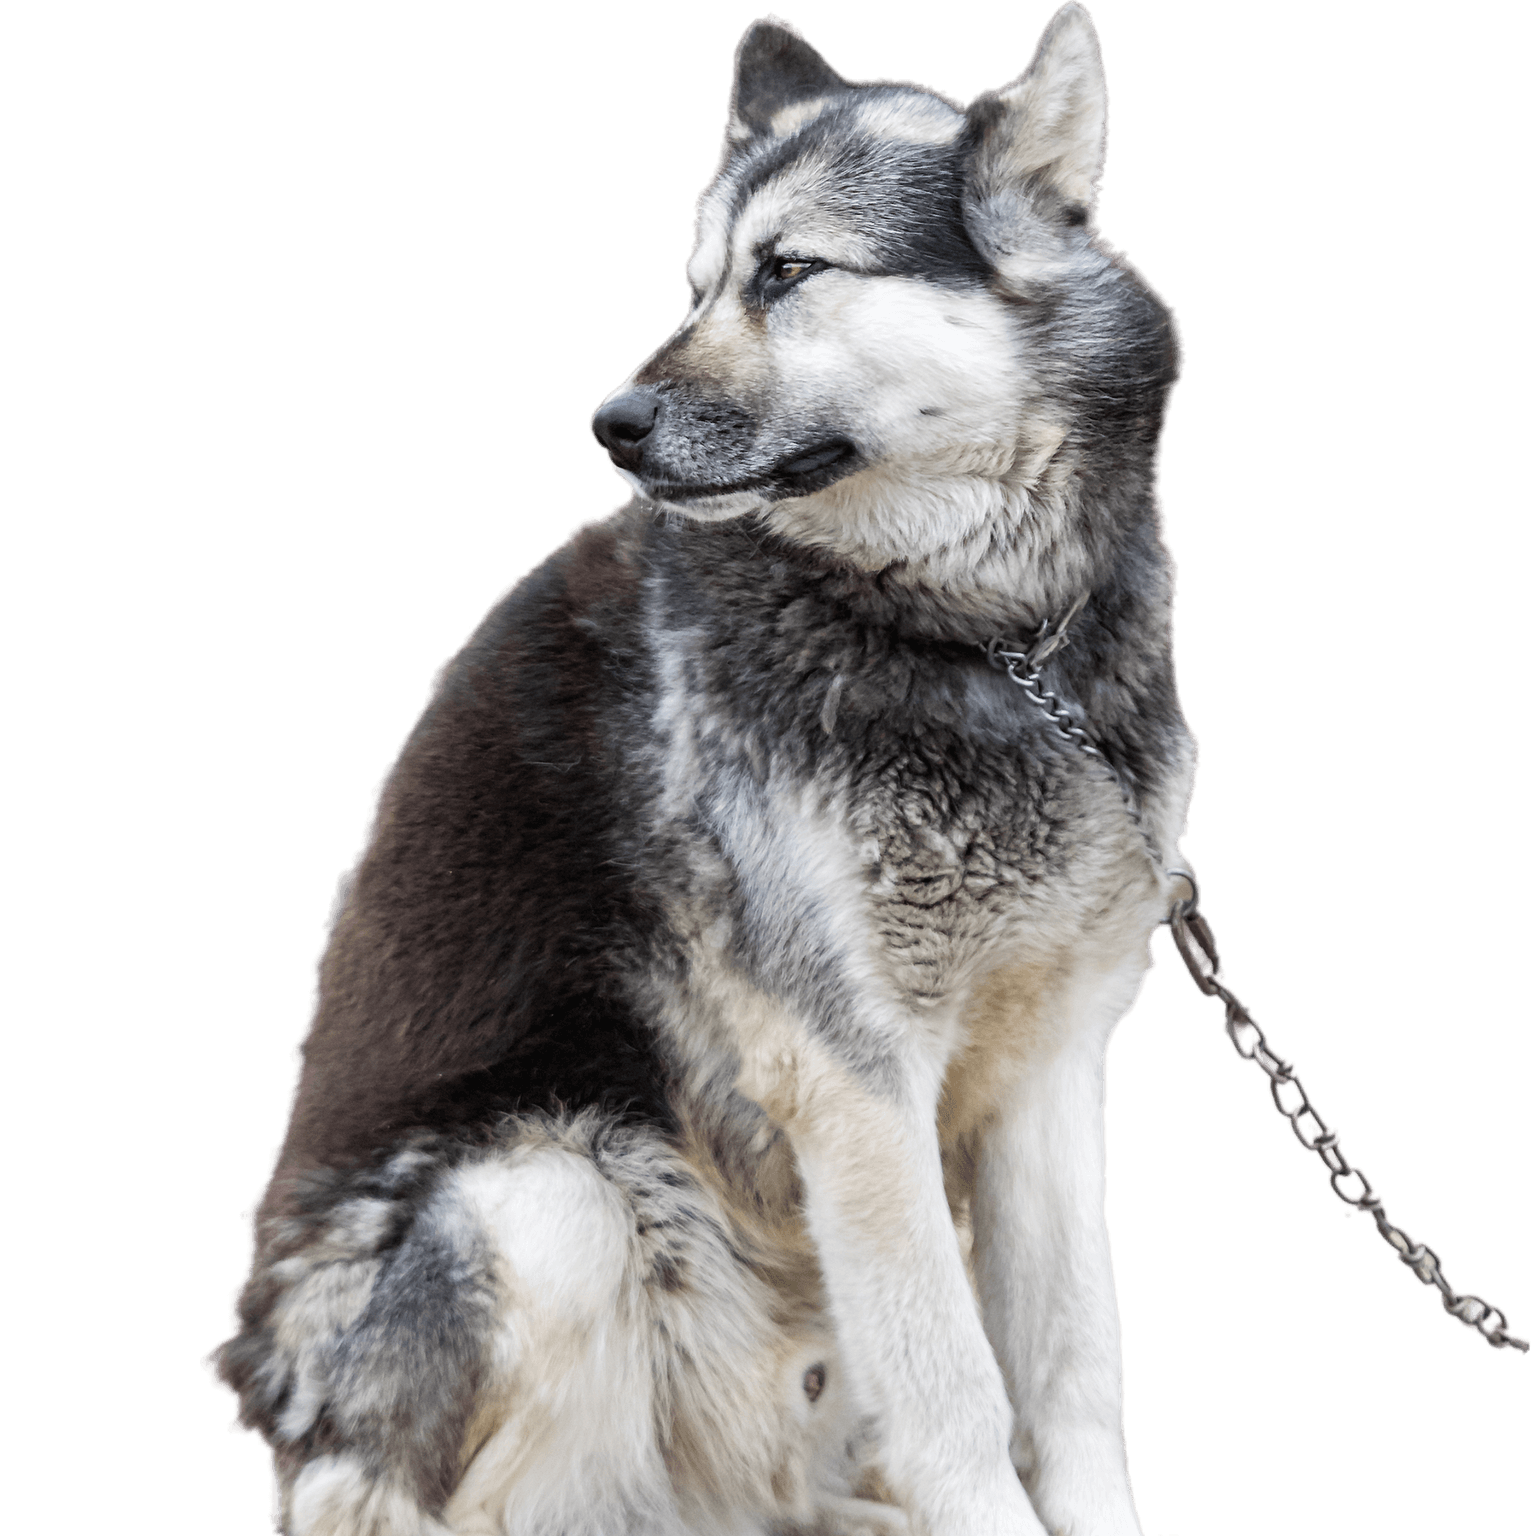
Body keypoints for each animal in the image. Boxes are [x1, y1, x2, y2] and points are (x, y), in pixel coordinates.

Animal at [210, 6, 1191, 1529]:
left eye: (789, 271)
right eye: (700, 283)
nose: (611, 423)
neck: (983, 640)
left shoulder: (1053, 1066)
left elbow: (1074, 1377)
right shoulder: (855, 1077)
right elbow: (959, 1394)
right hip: (551, 1200)